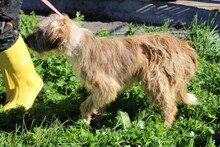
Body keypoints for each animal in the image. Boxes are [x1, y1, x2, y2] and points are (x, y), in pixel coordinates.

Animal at [25, 13, 199, 127]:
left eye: (39, 32)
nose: (25, 40)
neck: (77, 44)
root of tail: (183, 46)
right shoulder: (101, 90)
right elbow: (98, 103)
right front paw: (97, 118)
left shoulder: (107, 86)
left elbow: (86, 104)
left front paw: (85, 120)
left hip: (155, 79)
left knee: (170, 106)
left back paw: (165, 127)